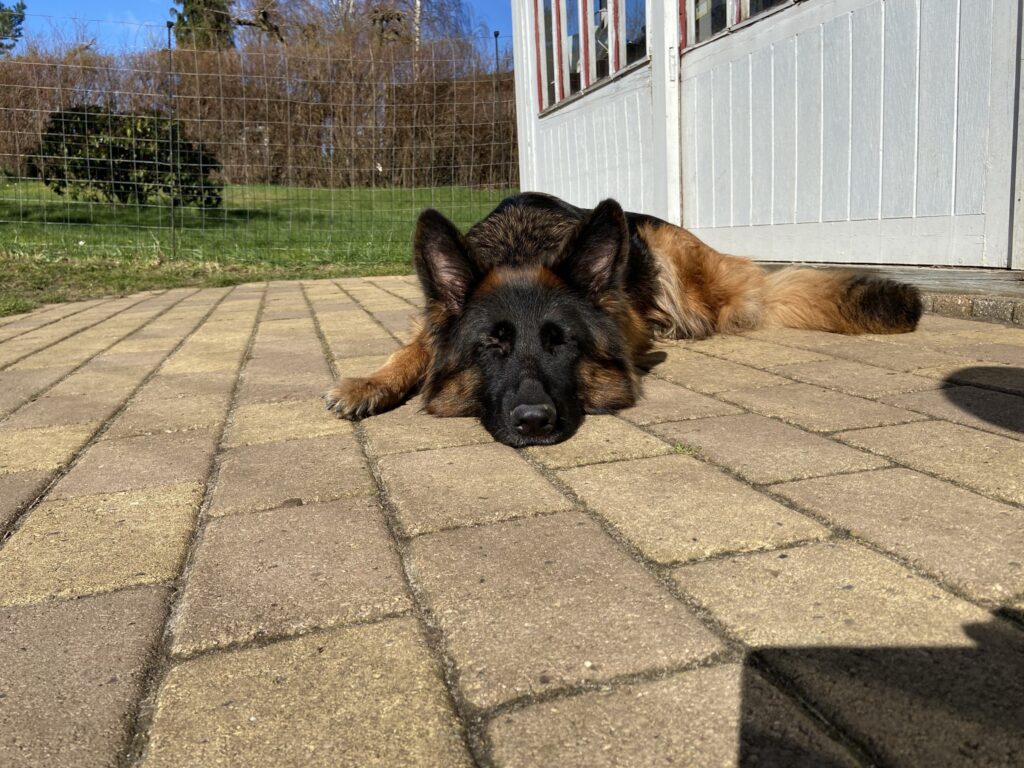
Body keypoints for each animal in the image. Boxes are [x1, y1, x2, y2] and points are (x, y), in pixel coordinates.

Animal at [325, 192, 922, 446]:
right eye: (490, 346)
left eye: (562, 343)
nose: (534, 422)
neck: (520, 246)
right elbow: (412, 348)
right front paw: (369, 382)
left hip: (683, 271)